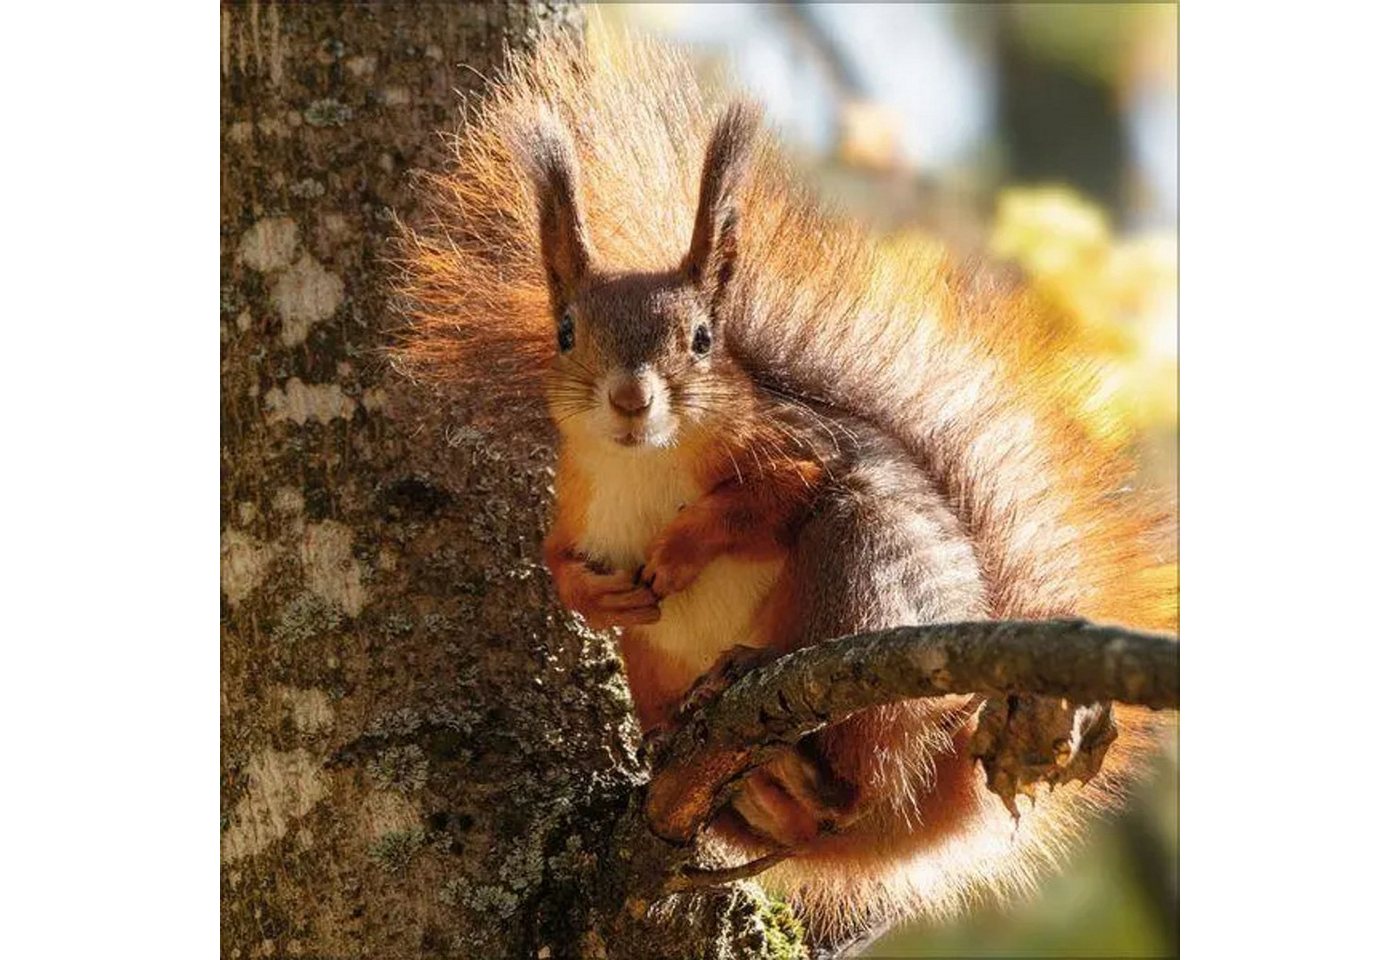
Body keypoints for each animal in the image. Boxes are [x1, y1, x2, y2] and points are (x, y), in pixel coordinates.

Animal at [395, 30, 1176, 939]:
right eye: (565, 333)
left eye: (703, 339)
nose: (630, 399)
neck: (641, 460)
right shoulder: (573, 503)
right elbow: (556, 564)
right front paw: (599, 594)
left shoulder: (799, 451)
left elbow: (769, 502)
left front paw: (681, 548)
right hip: (656, 673)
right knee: (803, 818)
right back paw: (739, 772)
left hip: (861, 568)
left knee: (854, 776)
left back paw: (776, 715)